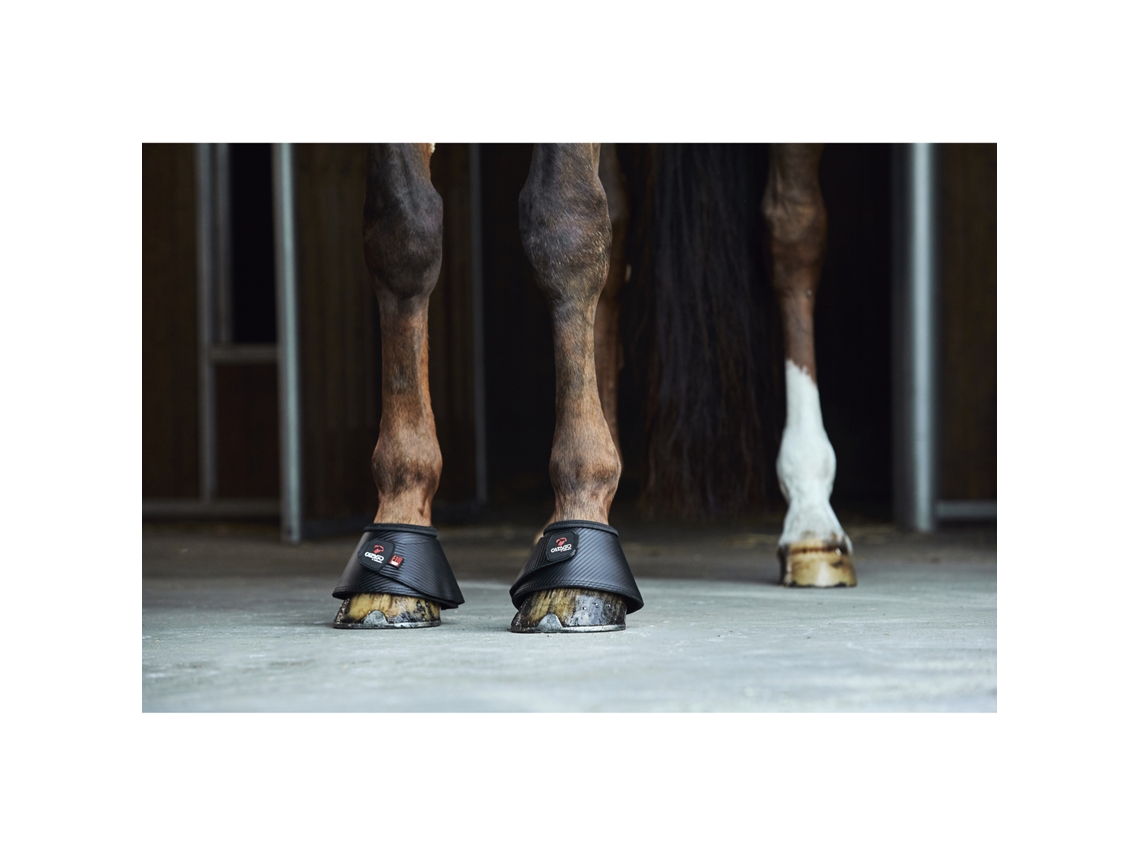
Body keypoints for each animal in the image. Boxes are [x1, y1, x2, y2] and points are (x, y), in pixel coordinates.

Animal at [330, 143, 855, 633]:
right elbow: (403, 231)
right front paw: (399, 525)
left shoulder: (565, 218)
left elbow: (566, 222)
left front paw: (577, 534)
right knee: (618, 231)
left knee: (792, 230)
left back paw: (812, 516)